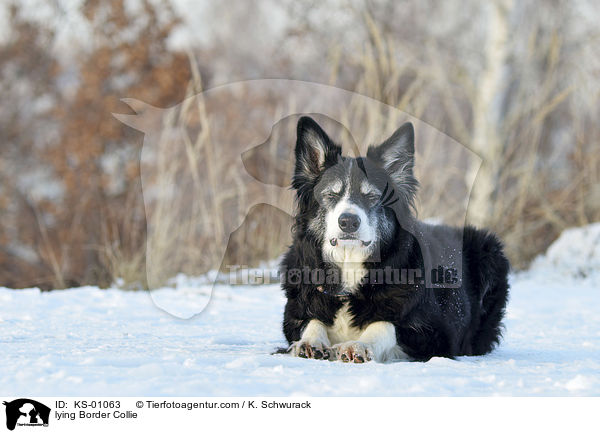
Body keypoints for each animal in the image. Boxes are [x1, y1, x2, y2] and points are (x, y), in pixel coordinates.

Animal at [278, 115, 508, 362]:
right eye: (331, 194)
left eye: (372, 196)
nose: (348, 222)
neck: (350, 266)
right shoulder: (295, 314)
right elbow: (311, 321)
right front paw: (309, 342)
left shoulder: (437, 333)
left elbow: (384, 325)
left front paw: (359, 345)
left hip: (488, 249)